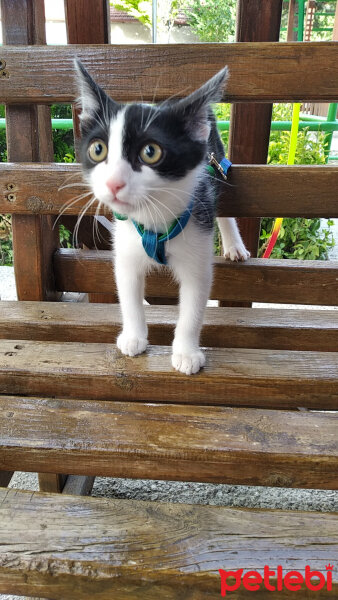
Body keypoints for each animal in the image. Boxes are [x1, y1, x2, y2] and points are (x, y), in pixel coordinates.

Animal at [75, 58, 250, 372]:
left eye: (150, 152)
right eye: (98, 149)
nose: (113, 183)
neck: (154, 216)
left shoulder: (198, 244)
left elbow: (193, 303)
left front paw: (186, 352)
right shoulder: (126, 246)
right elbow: (129, 292)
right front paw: (134, 337)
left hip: (215, 160)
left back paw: (234, 245)